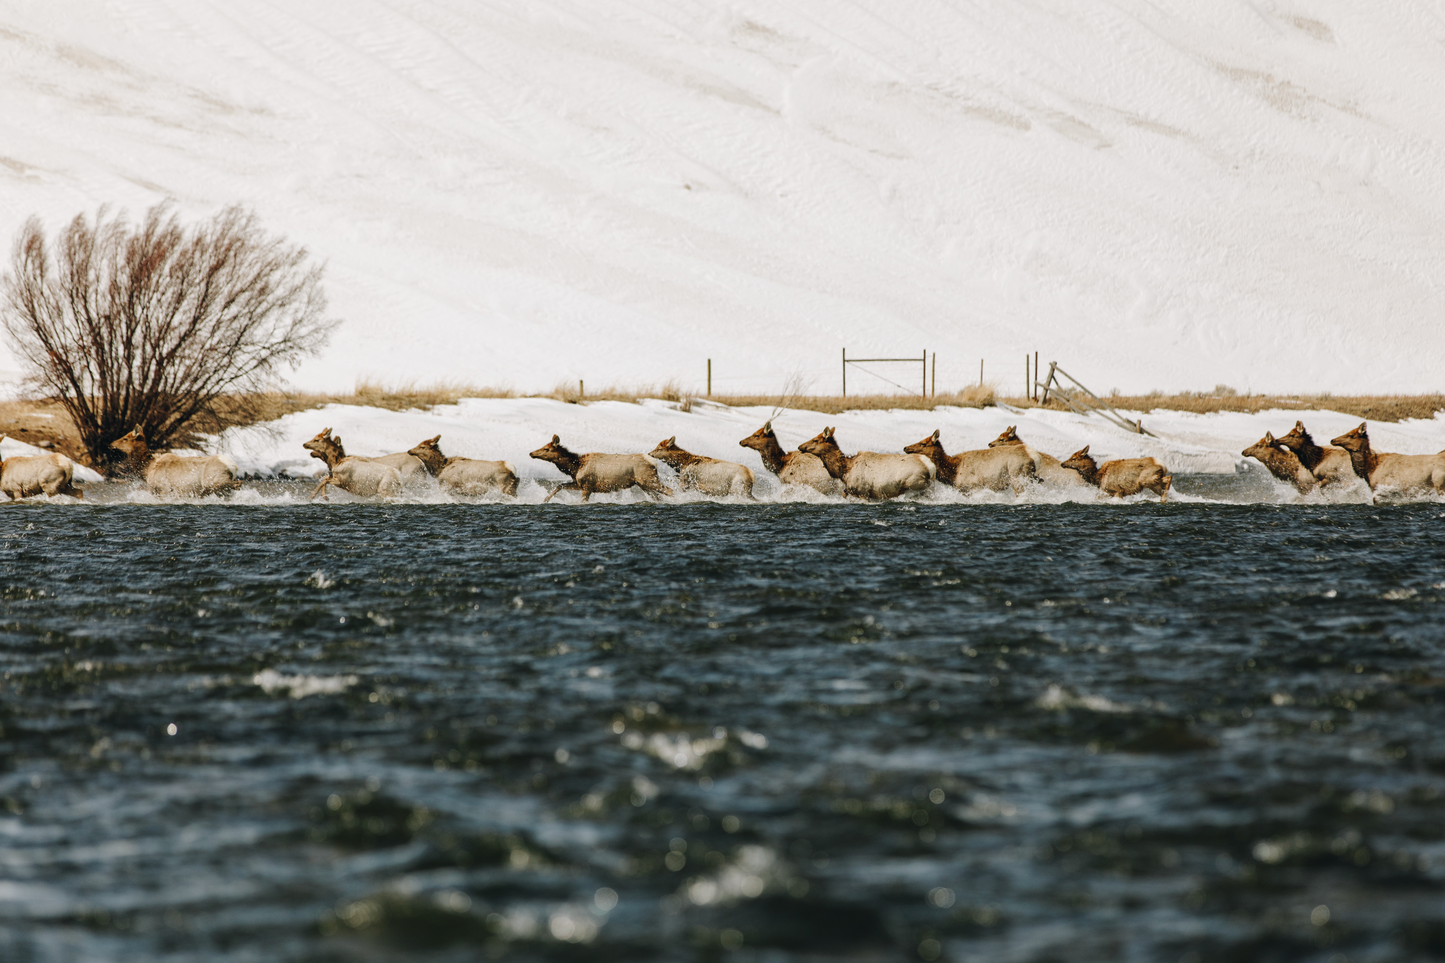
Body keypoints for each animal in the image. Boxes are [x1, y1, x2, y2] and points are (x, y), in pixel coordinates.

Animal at [109, 427, 240, 497]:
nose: (110, 444)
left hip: (213, 481)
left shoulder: (163, 489)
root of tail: (234, 466)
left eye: (125, 438)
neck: (147, 470)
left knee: (237, 483)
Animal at [529, 435, 672, 503]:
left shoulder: (587, 485)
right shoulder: (580, 484)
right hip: (643, 484)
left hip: (648, 479)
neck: (575, 467)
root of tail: (653, 462)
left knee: (670, 490)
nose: (531, 453)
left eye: (546, 449)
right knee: (658, 497)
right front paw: (545, 499)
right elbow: (561, 485)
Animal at [797, 427, 935, 500]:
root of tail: (931, 467)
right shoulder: (851, 490)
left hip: (913, 482)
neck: (844, 470)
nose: (799, 446)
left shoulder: (862, 490)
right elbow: (843, 493)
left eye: (815, 440)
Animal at [904, 430, 1037, 494]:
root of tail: (1034, 457)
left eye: (923, 443)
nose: (905, 447)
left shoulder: (973, 486)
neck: (953, 471)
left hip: (1018, 476)